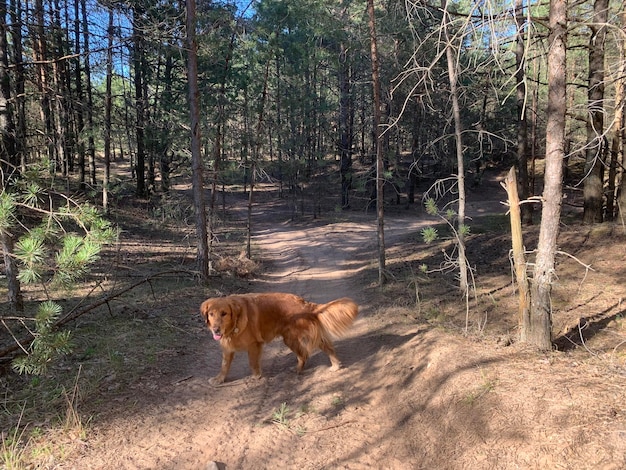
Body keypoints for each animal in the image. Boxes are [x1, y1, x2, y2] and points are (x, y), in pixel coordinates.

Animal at [200, 294, 356, 386]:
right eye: (211, 314)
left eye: (224, 313)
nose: (216, 330)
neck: (235, 322)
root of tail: (305, 303)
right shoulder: (228, 347)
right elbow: (224, 365)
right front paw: (219, 379)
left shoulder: (254, 345)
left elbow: (252, 363)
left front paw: (256, 377)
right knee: (314, 351)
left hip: (293, 337)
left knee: (305, 354)